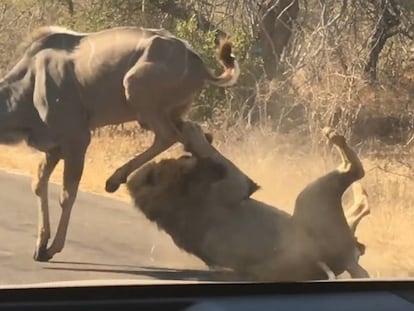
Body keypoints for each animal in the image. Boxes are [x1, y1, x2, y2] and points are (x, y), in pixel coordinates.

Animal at [126, 122, 368, 282]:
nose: (160, 162)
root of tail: (341, 260)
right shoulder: (238, 182)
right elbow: (213, 155)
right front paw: (194, 132)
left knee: (359, 211)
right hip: (312, 196)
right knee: (354, 172)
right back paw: (334, 137)